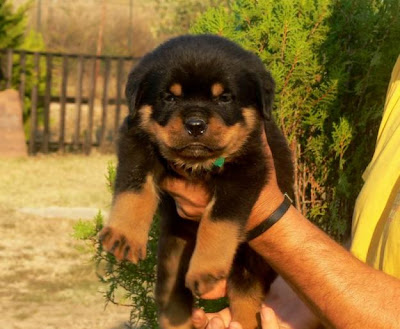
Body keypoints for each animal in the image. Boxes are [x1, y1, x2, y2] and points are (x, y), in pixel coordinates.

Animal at [100, 34, 294, 326]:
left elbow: (218, 221)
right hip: (172, 258)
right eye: (169, 97)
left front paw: (205, 269)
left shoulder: (248, 169)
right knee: (172, 301)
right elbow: (134, 188)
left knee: (246, 307)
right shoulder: (136, 140)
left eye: (224, 98)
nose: (195, 125)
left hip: (249, 267)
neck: (196, 164)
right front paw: (124, 235)